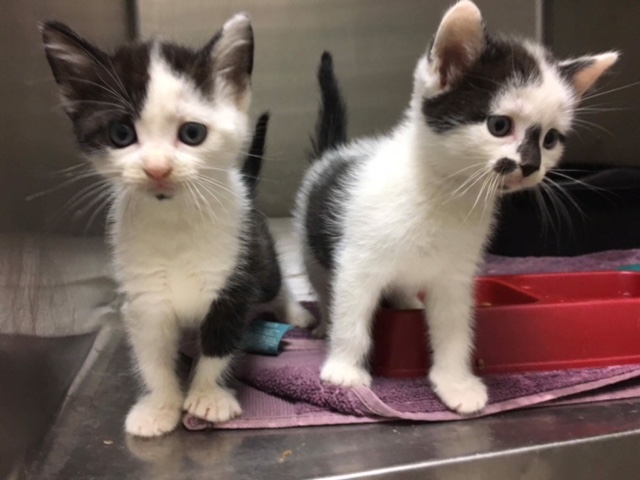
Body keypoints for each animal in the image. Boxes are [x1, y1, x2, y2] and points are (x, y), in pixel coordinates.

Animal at [38, 15, 314, 436]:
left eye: (192, 134)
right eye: (121, 134)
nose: (157, 169)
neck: (175, 220)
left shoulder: (233, 283)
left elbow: (219, 342)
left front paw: (208, 397)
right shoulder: (143, 296)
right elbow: (152, 355)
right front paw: (161, 406)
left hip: (257, 253)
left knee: (274, 282)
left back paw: (294, 312)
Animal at [296, 0, 620, 412]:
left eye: (550, 139)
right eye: (499, 126)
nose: (531, 166)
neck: (447, 194)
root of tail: (335, 152)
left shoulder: (454, 276)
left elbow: (454, 328)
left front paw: (455, 383)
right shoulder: (357, 263)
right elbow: (351, 315)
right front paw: (344, 371)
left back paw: (407, 302)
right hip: (312, 248)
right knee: (325, 286)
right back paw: (324, 323)